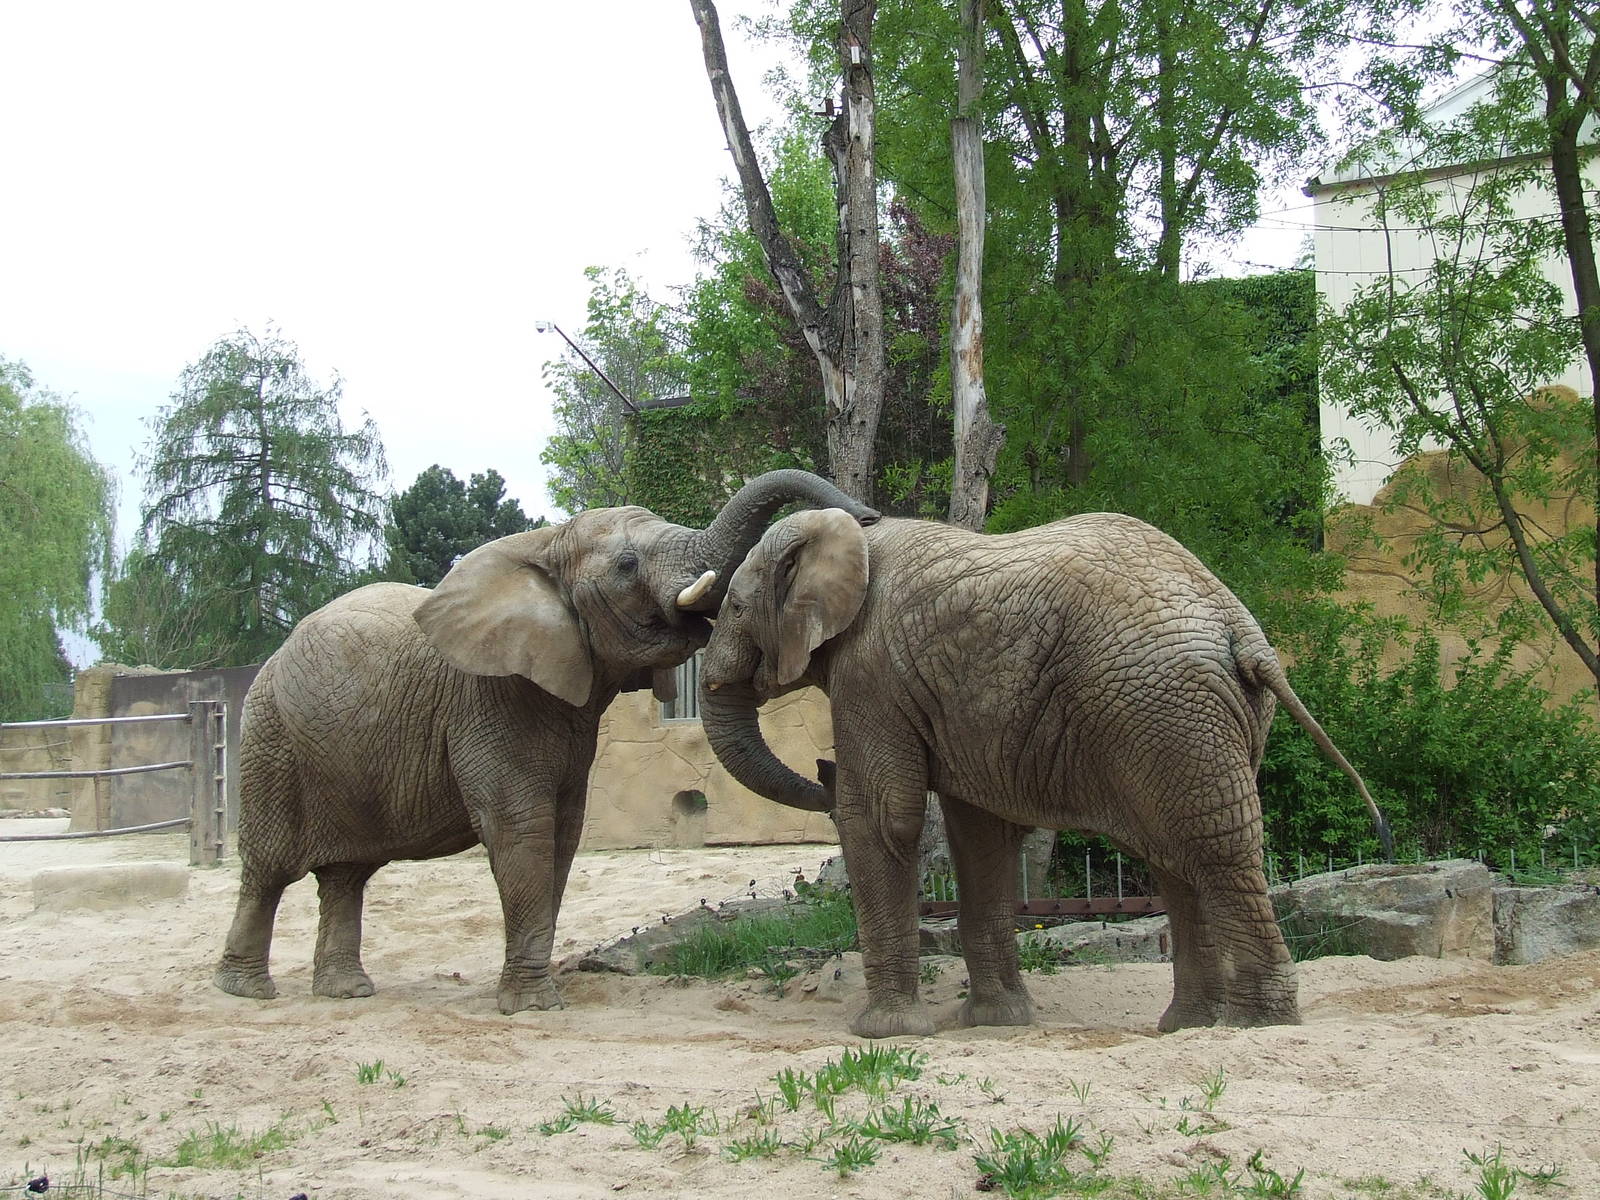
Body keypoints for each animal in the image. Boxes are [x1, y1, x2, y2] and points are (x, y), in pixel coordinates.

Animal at [213, 470, 877, 1014]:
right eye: (627, 565)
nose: (867, 514)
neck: (544, 545)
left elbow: (563, 829)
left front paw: (535, 992)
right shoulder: (490, 698)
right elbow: (521, 825)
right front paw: (533, 1005)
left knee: (347, 874)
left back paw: (346, 992)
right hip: (270, 737)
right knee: (269, 865)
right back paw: (247, 991)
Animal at [699, 508, 1388, 1038]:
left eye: (732, 604)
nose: (822, 772)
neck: (856, 536)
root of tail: (1241, 630)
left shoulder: (871, 675)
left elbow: (884, 817)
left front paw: (886, 1034)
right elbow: (978, 833)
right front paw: (999, 1022)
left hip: (1163, 707)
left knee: (1211, 851)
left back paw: (1253, 1025)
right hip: (1199, 719)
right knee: (1180, 856)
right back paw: (1187, 1027)